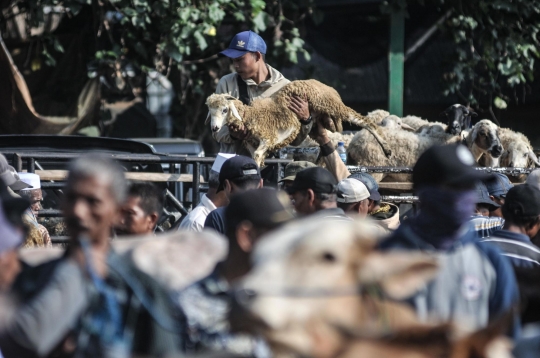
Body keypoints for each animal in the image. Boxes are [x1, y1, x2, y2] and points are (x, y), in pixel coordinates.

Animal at [206, 79, 388, 167]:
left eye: (224, 110)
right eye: (210, 110)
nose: (214, 128)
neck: (250, 115)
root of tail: (325, 86)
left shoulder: (268, 138)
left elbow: (257, 156)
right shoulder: (252, 143)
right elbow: (254, 158)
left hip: (329, 103)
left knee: (365, 121)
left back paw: (387, 148)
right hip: (320, 119)